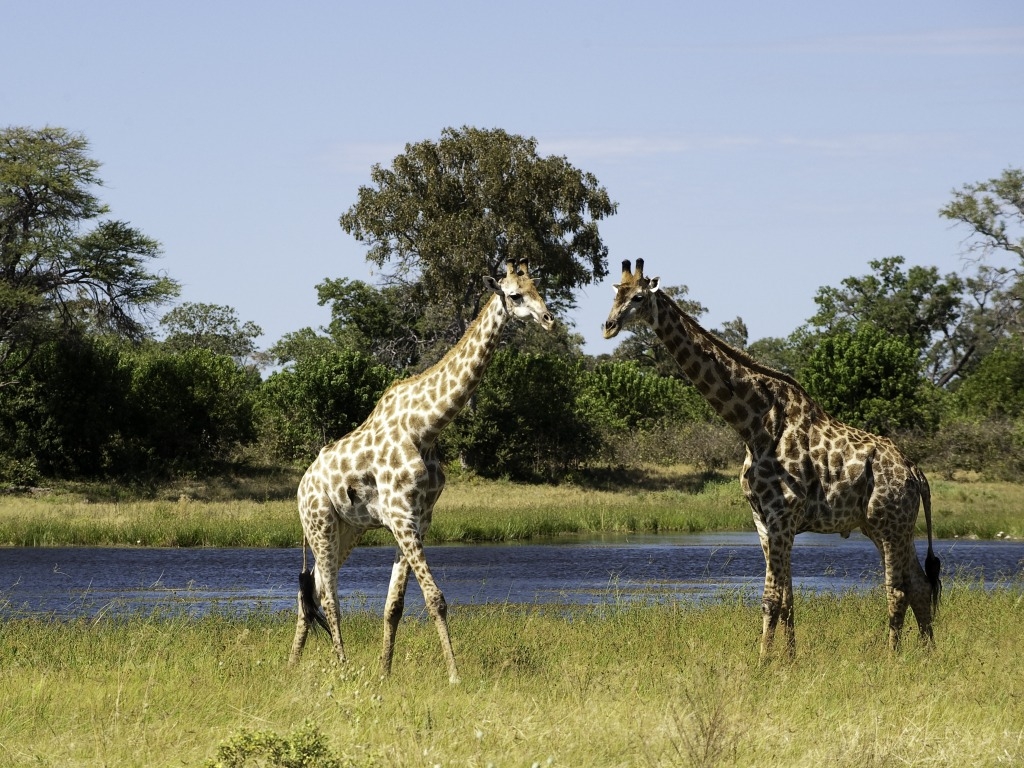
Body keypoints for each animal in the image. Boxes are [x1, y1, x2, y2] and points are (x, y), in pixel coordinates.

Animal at [289, 260, 553, 683]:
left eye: (538, 288)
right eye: (515, 295)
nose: (548, 320)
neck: (426, 426)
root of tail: (301, 486)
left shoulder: (419, 518)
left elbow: (394, 606)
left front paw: (385, 672)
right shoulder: (400, 517)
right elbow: (435, 598)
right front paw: (455, 676)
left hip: (348, 529)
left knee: (310, 592)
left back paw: (292, 665)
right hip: (320, 523)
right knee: (328, 596)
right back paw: (342, 667)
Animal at [603, 259, 940, 659]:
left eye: (638, 298)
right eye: (614, 294)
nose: (608, 326)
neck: (754, 424)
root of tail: (916, 472)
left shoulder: (782, 515)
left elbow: (771, 599)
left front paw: (763, 661)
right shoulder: (763, 520)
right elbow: (786, 599)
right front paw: (789, 660)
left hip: (889, 524)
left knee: (898, 589)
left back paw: (892, 658)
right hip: (889, 526)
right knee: (920, 585)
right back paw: (928, 654)